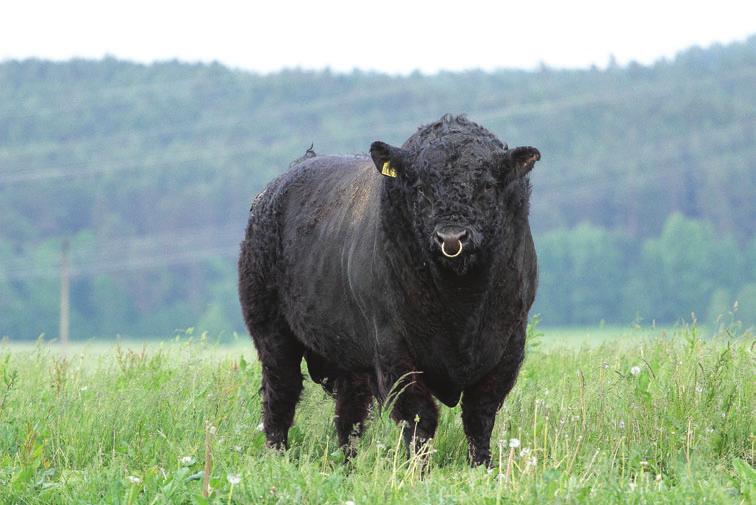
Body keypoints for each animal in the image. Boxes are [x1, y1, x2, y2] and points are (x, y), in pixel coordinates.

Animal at [236, 114, 536, 464]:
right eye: (420, 187)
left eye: (487, 185)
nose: (451, 238)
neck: (460, 303)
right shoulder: (394, 350)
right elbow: (419, 418)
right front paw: (419, 469)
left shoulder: (508, 345)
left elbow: (480, 416)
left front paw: (482, 466)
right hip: (271, 331)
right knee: (280, 395)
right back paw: (277, 456)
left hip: (349, 354)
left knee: (349, 415)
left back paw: (347, 465)